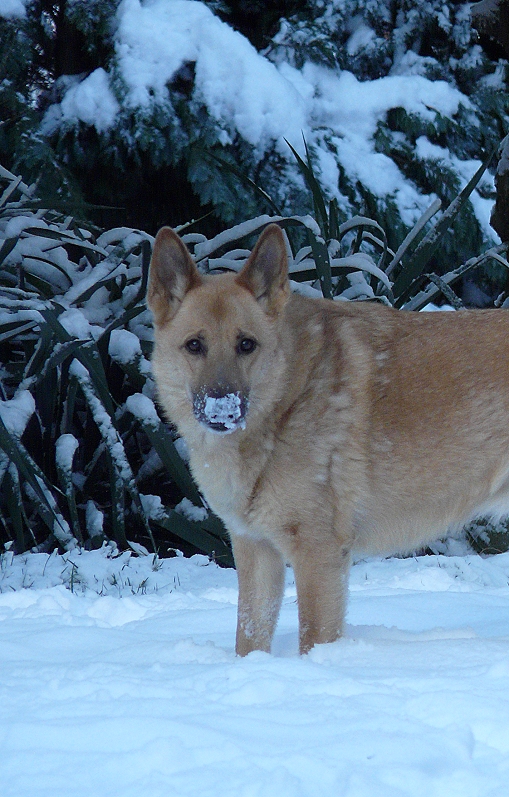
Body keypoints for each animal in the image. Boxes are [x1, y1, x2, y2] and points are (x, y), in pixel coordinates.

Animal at [145, 222, 508, 652]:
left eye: (246, 344)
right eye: (194, 345)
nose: (223, 408)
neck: (288, 400)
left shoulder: (318, 554)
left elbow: (314, 641)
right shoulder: (256, 551)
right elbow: (248, 639)